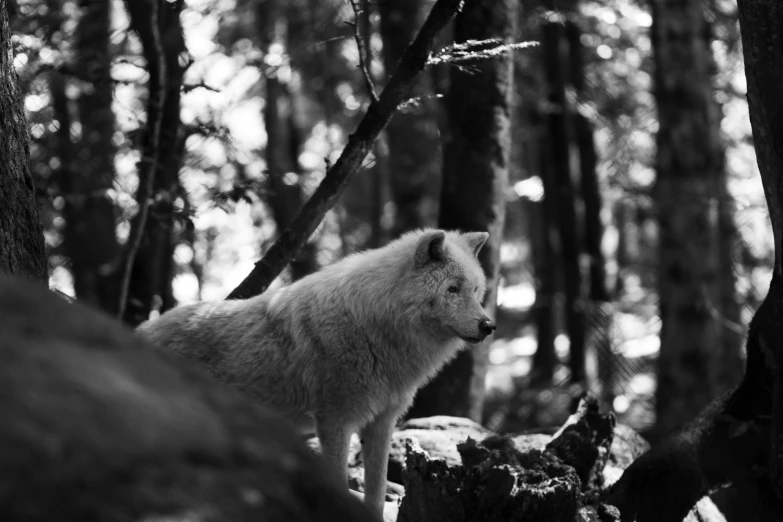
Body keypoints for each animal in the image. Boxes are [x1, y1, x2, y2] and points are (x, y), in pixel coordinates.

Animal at [136, 228, 496, 516]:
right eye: (452, 289)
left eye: (476, 291)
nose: (489, 325)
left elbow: (377, 494)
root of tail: (139, 330)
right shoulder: (335, 422)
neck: (375, 325)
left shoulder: (381, 424)